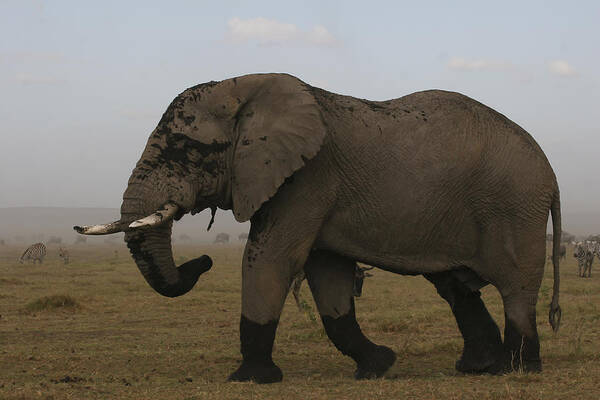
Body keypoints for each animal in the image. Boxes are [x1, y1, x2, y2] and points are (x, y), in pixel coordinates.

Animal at [75, 73, 564, 382]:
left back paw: (518, 369)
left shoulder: (308, 178)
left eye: (188, 149)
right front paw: (378, 366)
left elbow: (272, 259)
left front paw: (251, 379)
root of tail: (552, 174)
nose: (205, 259)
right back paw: (480, 368)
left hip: (514, 206)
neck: (249, 90)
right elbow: (327, 275)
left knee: (516, 286)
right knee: (455, 286)